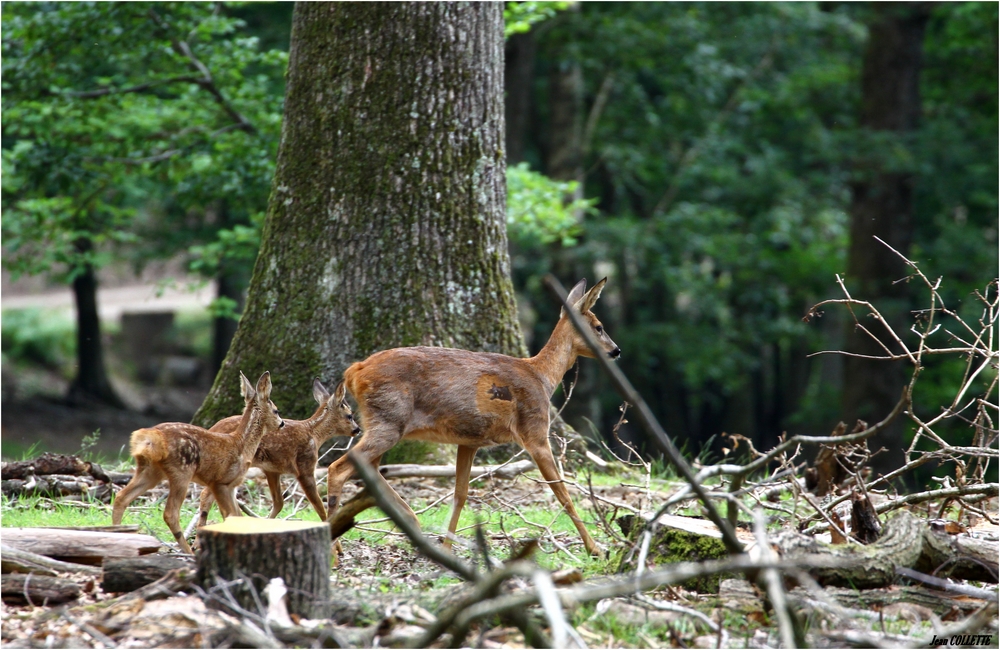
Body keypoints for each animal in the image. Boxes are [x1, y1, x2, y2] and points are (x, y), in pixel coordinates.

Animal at [114, 370, 286, 552]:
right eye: (276, 410)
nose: (282, 423)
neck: (242, 444)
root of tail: (151, 438)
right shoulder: (220, 482)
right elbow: (230, 515)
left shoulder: (232, 486)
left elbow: (237, 516)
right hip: (181, 472)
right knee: (170, 513)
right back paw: (187, 551)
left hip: (150, 470)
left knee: (121, 497)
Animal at [199, 378, 360, 524]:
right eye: (350, 415)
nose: (357, 429)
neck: (314, 434)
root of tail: (212, 429)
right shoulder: (304, 466)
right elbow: (319, 507)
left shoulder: (272, 469)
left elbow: (279, 502)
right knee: (206, 494)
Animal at [328, 276, 616, 556]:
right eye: (599, 326)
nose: (616, 350)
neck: (542, 376)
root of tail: (354, 371)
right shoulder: (535, 431)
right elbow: (563, 492)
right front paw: (595, 549)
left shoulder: (468, 441)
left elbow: (460, 494)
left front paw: (447, 547)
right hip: (389, 419)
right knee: (338, 468)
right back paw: (336, 544)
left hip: (382, 421)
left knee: (370, 470)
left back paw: (409, 524)